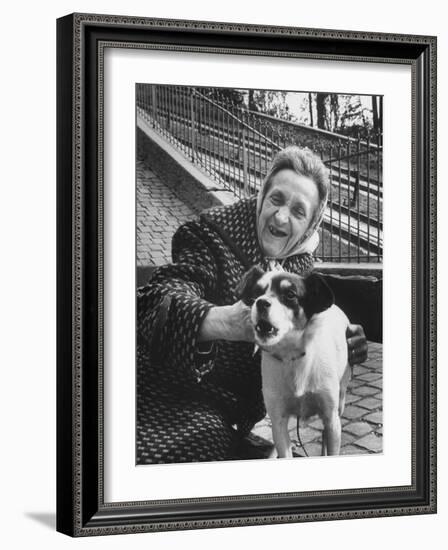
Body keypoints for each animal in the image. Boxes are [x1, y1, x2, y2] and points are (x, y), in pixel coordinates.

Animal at [240, 266, 352, 460]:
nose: (261, 302)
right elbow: (283, 448)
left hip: (340, 401)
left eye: (290, 295)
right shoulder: (278, 420)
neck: (291, 357)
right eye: (257, 292)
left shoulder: (331, 418)